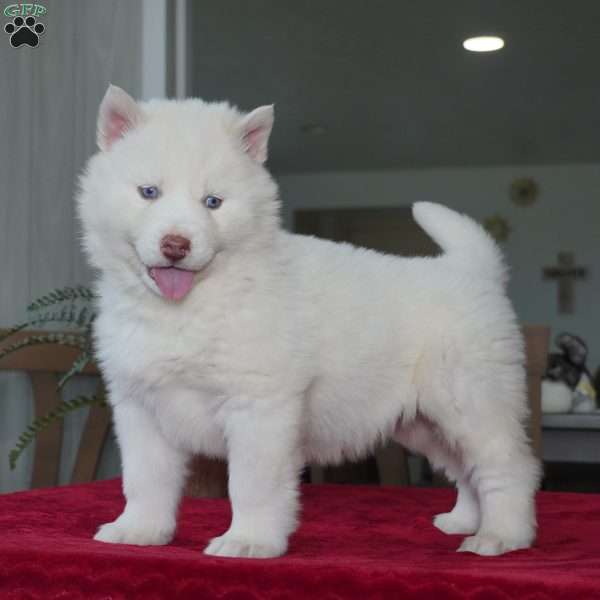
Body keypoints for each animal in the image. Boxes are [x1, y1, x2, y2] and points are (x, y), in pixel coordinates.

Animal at [76, 84, 540, 556]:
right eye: (148, 192)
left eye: (213, 202)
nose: (176, 245)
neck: (192, 306)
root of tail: (472, 271)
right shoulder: (140, 408)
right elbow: (145, 479)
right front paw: (139, 531)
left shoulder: (259, 407)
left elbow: (250, 485)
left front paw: (248, 541)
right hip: (422, 422)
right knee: (464, 468)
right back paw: (464, 520)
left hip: (471, 401)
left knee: (506, 467)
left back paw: (501, 535)